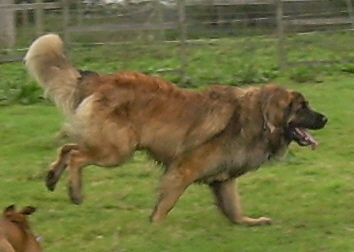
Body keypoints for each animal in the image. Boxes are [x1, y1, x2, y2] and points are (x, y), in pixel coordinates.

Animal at [24, 34, 328, 225]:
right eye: (302, 107)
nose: (325, 119)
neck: (255, 118)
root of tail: (101, 80)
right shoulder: (184, 169)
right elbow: (166, 202)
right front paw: (155, 226)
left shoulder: (224, 178)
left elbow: (234, 210)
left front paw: (252, 221)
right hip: (117, 151)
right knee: (76, 156)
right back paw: (75, 191)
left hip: (108, 145)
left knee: (67, 148)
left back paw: (52, 177)